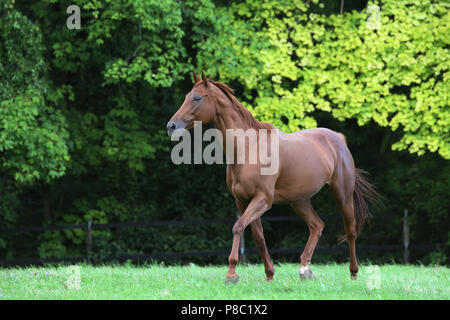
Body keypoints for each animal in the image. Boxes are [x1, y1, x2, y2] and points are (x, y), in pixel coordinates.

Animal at [167, 71, 378, 282]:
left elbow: (238, 226)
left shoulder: (263, 199)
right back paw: (304, 269)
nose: (171, 126)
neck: (248, 149)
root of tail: (338, 139)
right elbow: (258, 237)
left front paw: (231, 273)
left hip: (342, 196)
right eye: (187, 96)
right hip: (299, 201)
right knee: (317, 226)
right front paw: (269, 274)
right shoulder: (243, 201)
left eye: (197, 98)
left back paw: (353, 272)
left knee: (350, 231)